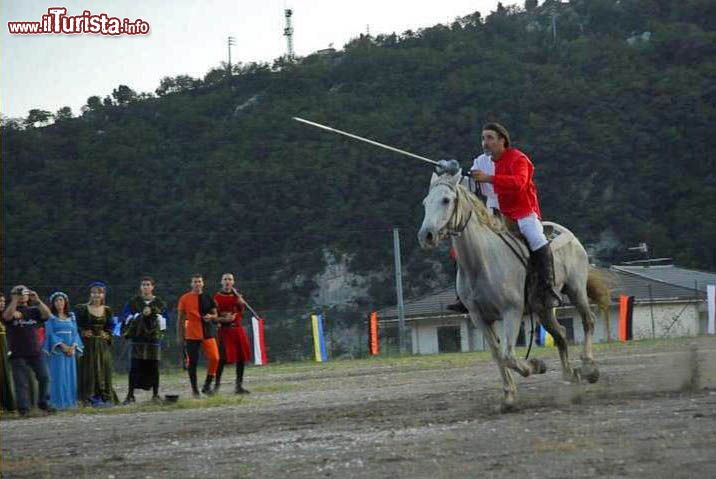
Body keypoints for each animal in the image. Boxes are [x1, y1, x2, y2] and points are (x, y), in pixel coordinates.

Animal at [420, 172, 608, 412]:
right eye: (425, 202)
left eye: (446, 200)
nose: (426, 235)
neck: (481, 262)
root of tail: (567, 233)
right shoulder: (479, 317)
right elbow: (498, 355)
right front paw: (509, 396)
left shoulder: (512, 311)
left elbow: (508, 355)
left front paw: (536, 365)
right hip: (544, 308)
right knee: (561, 334)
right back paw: (571, 375)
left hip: (576, 289)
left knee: (588, 320)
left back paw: (588, 367)